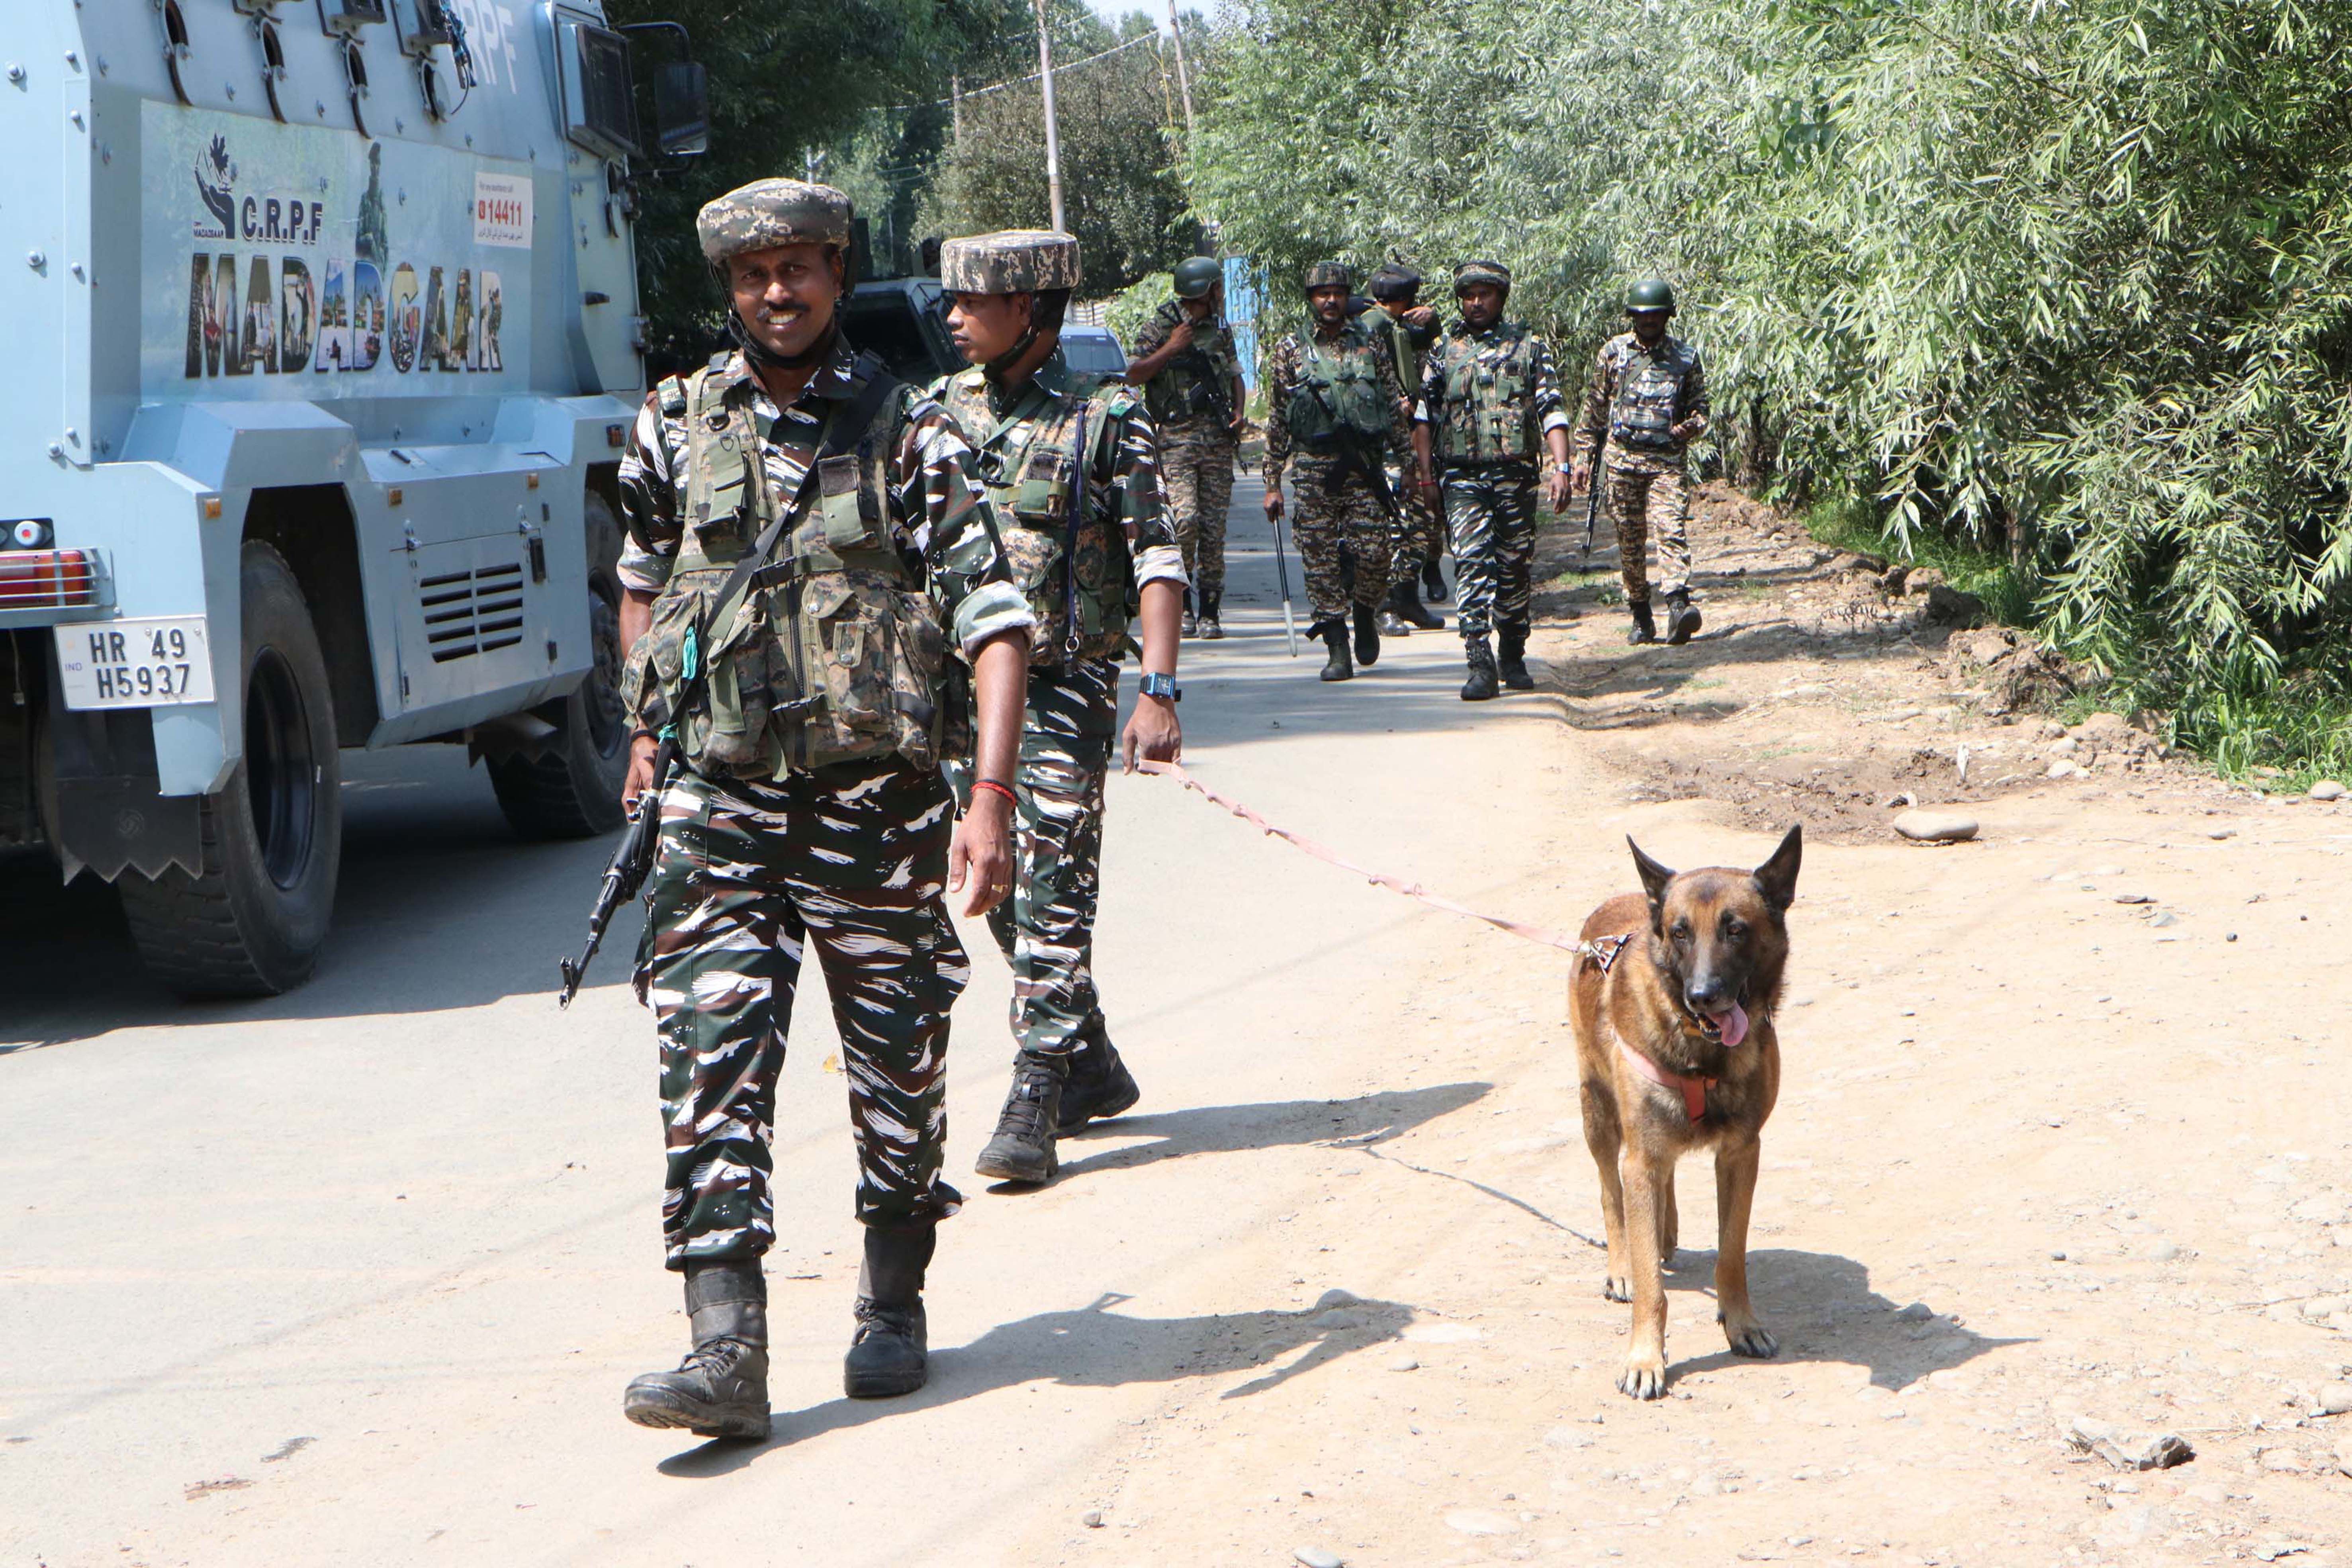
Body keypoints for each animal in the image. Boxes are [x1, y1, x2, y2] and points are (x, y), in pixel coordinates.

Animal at [1580, 827, 1797, 1401]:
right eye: (1679, 933)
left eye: (1735, 930)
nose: (1702, 996)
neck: (1701, 1052)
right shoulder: (1639, 1157)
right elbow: (1651, 1288)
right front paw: (1644, 1358)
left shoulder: (1741, 1155)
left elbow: (1731, 1256)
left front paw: (1740, 1323)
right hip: (1598, 1115)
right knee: (1611, 1192)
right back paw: (1623, 1263)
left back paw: (1666, 1229)